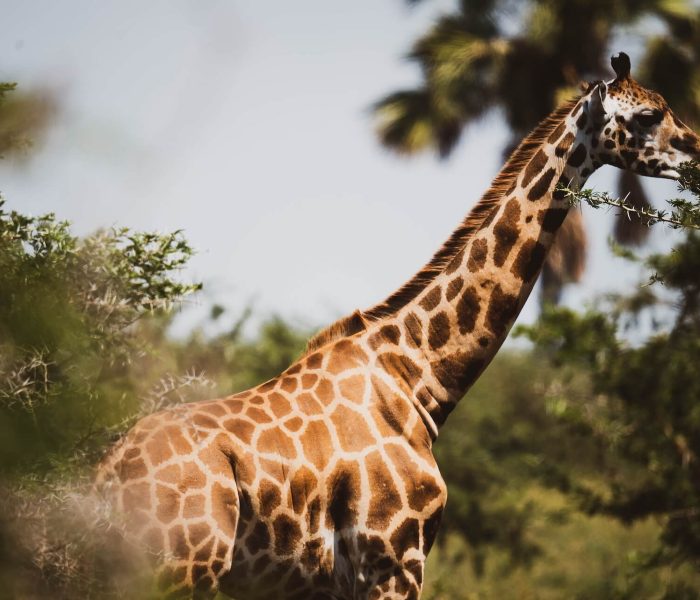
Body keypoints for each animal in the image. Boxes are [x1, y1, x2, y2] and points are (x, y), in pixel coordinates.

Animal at [95, 53, 700, 599]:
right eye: (649, 114)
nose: (695, 154)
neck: (419, 376)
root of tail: (105, 478)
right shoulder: (394, 561)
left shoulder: (325, 583)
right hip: (180, 570)